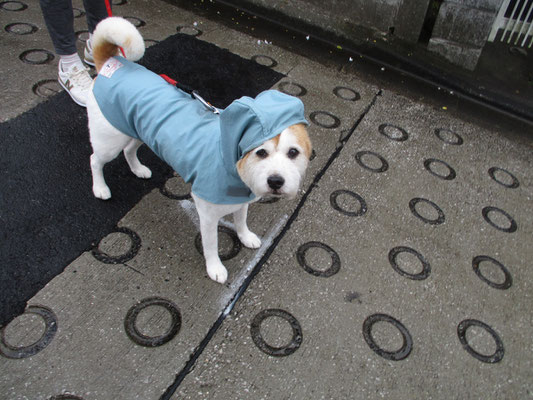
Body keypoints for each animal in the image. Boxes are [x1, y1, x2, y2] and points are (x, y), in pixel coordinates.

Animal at [87, 17, 310, 282]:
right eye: (261, 152)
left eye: (293, 153)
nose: (276, 181)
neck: (230, 161)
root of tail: (112, 63)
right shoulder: (207, 215)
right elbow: (211, 245)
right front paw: (215, 268)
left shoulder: (241, 200)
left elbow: (241, 220)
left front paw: (245, 236)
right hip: (110, 140)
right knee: (95, 160)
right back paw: (100, 188)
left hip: (136, 131)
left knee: (129, 150)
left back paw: (138, 169)